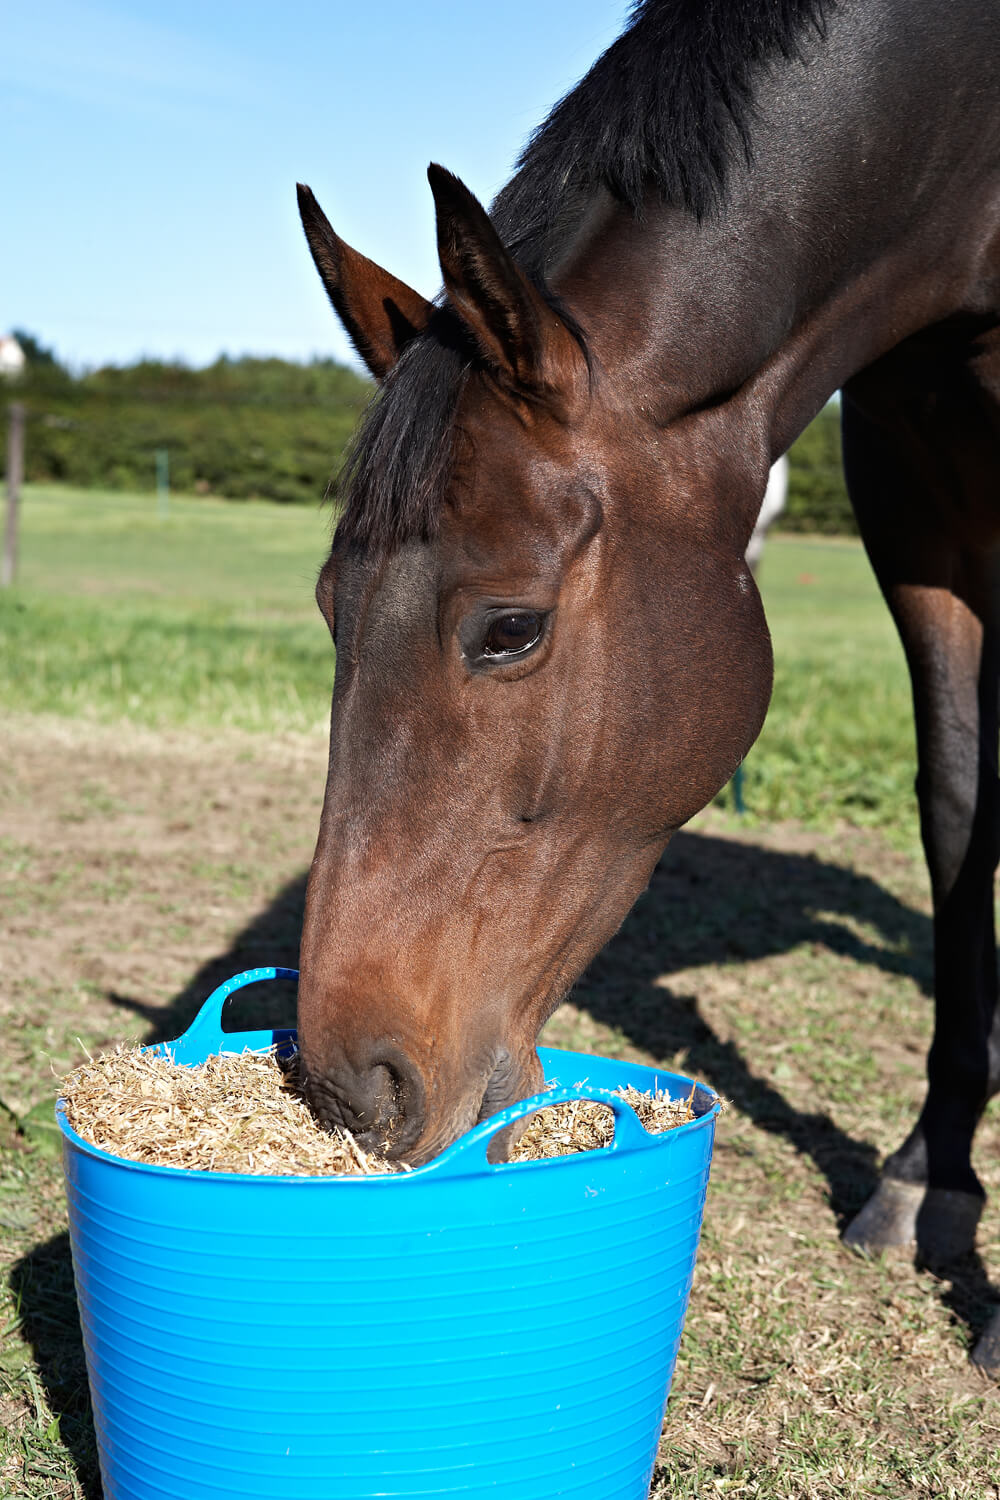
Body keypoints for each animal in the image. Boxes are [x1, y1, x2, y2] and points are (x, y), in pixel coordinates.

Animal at [293, 0, 1000, 1368]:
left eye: (510, 628)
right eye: (325, 604)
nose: (350, 1086)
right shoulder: (914, 498)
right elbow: (957, 813)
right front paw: (928, 1183)